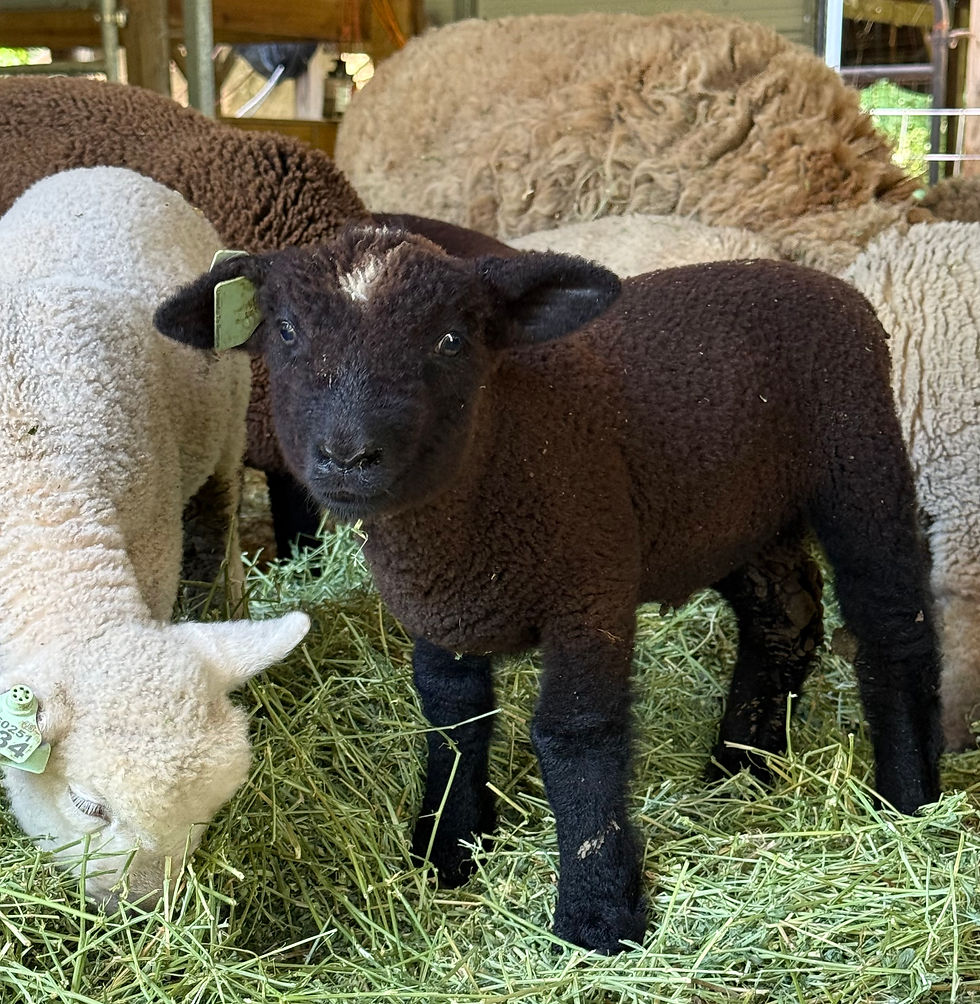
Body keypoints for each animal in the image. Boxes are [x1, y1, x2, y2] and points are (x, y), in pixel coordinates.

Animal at [0, 166, 310, 906]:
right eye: (88, 805)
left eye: (213, 810)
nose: (142, 908)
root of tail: (107, 173)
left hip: (228, 431)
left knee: (220, 527)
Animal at [154, 224, 941, 953]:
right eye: (285, 331)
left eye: (449, 339)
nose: (347, 456)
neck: (495, 454)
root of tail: (820, 281)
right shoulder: (442, 610)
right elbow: (454, 719)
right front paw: (447, 851)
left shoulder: (588, 588)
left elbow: (574, 736)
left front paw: (598, 914)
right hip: (740, 513)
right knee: (786, 616)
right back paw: (740, 770)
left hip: (857, 457)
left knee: (891, 625)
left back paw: (907, 797)